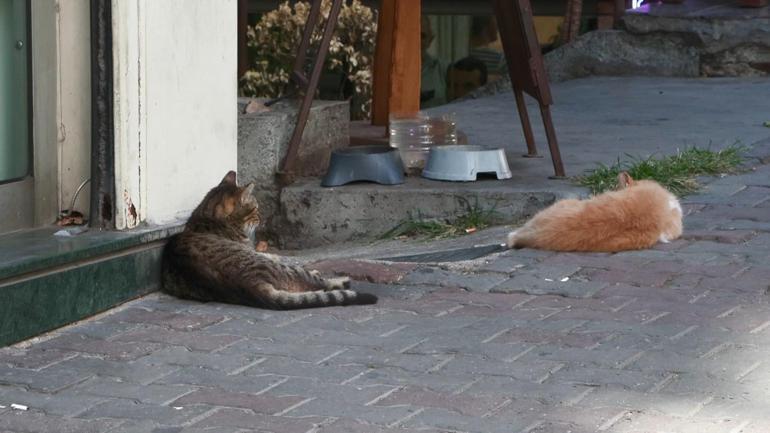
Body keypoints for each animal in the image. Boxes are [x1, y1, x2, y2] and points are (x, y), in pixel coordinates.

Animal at [162, 170, 378, 308]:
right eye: (255, 208)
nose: (262, 216)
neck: (208, 217)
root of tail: (251, 283)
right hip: (289, 271)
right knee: (315, 282)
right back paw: (339, 279)